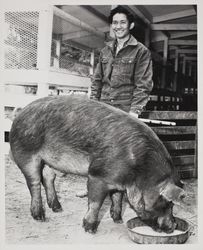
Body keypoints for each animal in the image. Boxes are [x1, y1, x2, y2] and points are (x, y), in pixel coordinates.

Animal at [9, 95, 184, 234]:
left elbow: (117, 198)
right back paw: (40, 217)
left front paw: (118, 220)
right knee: (34, 183)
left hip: (50, 161)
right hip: (26, 153)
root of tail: (20, 112)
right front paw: (89, 229)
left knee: (48, 178)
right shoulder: (98, 175)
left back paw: (58, 209)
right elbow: (95, 203)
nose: (173, 226)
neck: (140, 171)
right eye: (168, 203)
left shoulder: (119, 182)